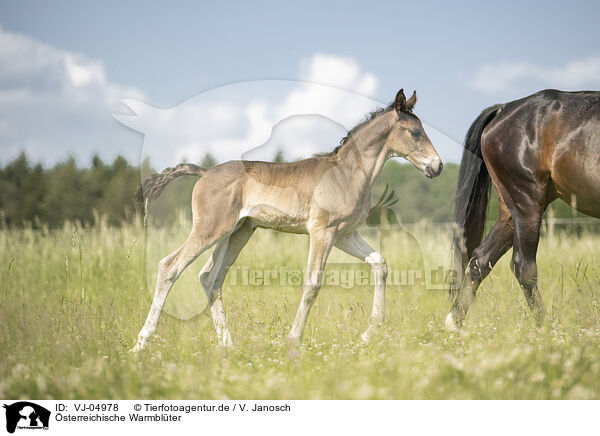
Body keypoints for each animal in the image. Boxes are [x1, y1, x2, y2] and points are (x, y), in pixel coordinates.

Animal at [446, 87, 600, 330]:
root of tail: (504, 109)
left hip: (510, 212)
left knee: (480, 259)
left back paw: (454, 324)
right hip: (526, 203)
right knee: (524, 268)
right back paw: (545, 328)